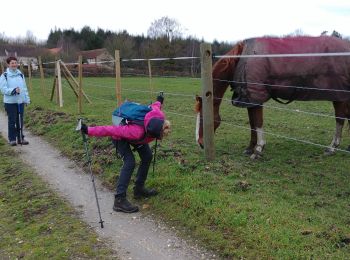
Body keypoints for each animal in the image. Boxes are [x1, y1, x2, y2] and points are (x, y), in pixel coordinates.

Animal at [196, 36, 350, 158]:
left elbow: (258, 123)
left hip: (339, 96)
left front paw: (258, 149)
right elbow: (252, 124)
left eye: (203, 117)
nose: (200, 143)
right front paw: (250, 147)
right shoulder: (249, 99)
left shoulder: (256, 97)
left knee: (340, 119)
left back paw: (332, 148)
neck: (242, 59)